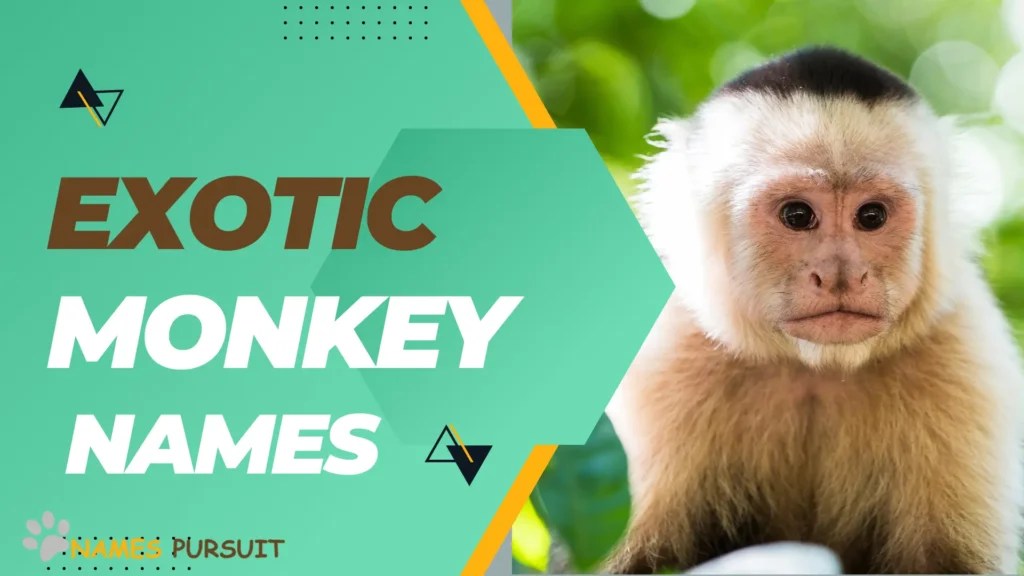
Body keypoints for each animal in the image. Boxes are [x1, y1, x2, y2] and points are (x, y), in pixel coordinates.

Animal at [603, 46, 1024, 574]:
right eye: (797, 215)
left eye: (871, 216)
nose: (840, 275)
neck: (814, 370)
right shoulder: (660, 366)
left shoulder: (964, 362)